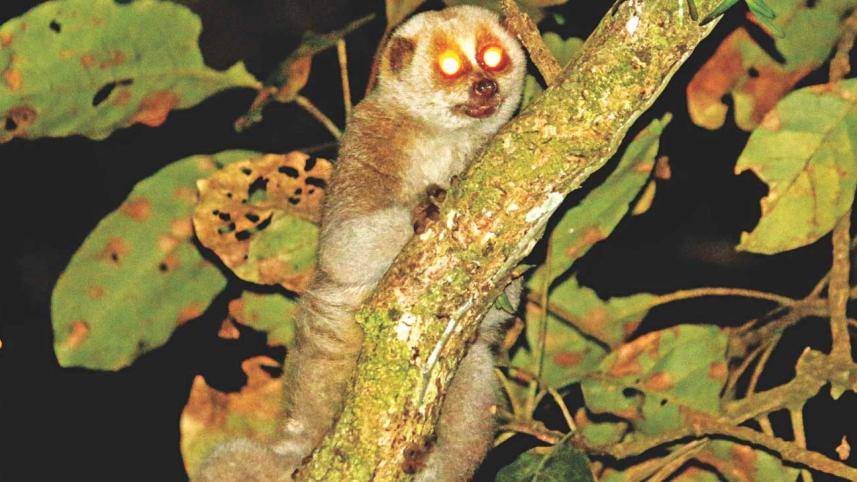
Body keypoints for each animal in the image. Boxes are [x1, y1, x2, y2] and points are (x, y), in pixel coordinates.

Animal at [196, 6, 526, 481]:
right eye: (449, 66)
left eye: (493, 57)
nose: (485, 84)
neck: (447, 139)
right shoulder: (367, 142)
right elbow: (342, 251)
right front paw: (425, 209)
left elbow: (503, 304)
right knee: (227, 462)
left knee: (476, 362)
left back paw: (427, 461)